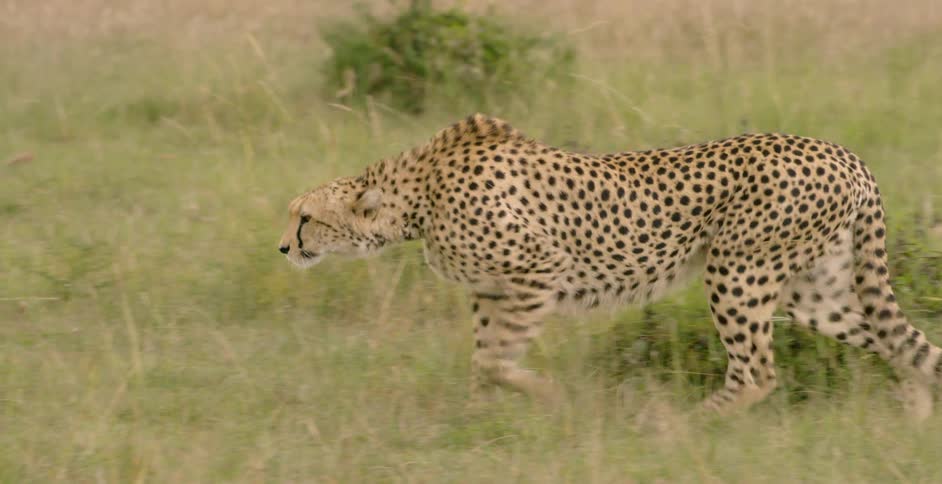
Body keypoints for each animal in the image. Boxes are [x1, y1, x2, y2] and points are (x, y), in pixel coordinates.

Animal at [278, 113, 940, 419]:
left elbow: (495, 359)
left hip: (736, 271)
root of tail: (844, 153)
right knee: (893, 337)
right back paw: (914, 408)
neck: (416, 194)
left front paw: (545, 396)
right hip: (811, 290)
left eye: (305, 217)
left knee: (756, 373)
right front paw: (476, 417)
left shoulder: (539, 267)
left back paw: (681, 427)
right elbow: (483, 359)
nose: (283, 248)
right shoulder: (491, 291)